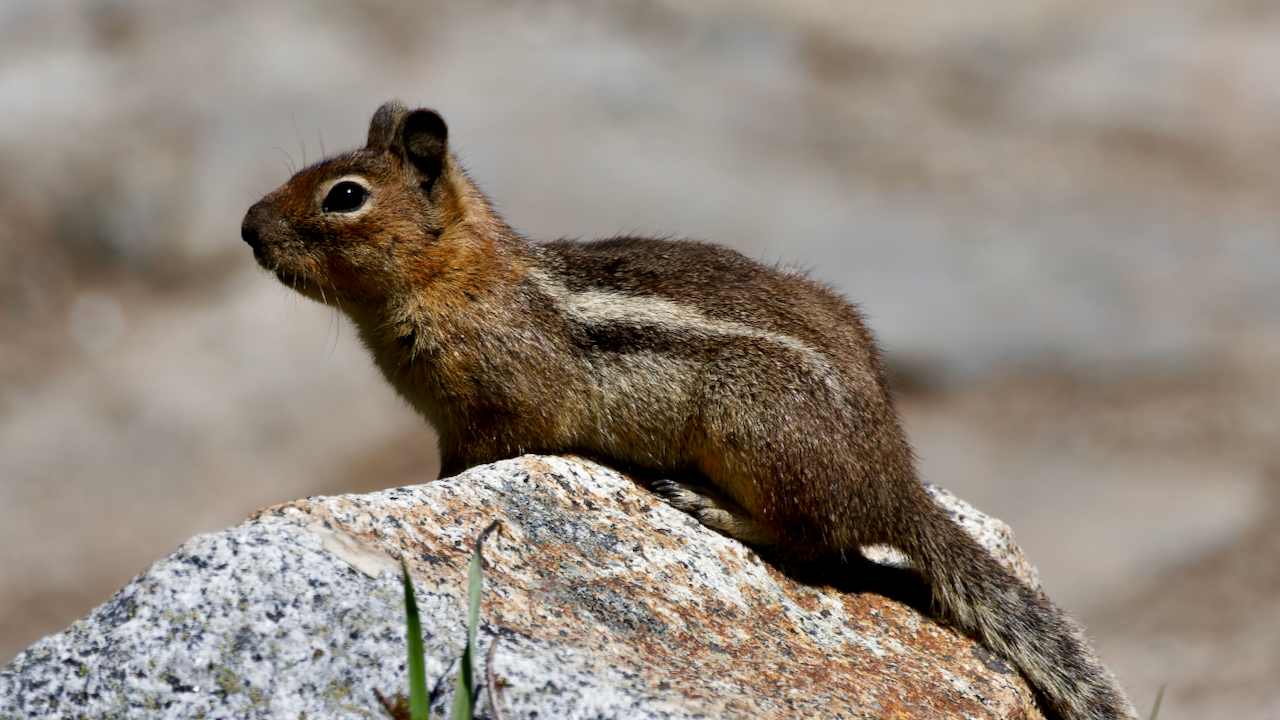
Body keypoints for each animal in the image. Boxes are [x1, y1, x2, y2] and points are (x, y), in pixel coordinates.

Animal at [241, 101, 1137, 720]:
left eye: (344, 196)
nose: (247, 227)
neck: (459, 276)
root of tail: (895, 481)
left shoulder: (496, 412)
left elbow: (483, 457)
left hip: (755, 434)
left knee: (812, 541)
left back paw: (708, 506)